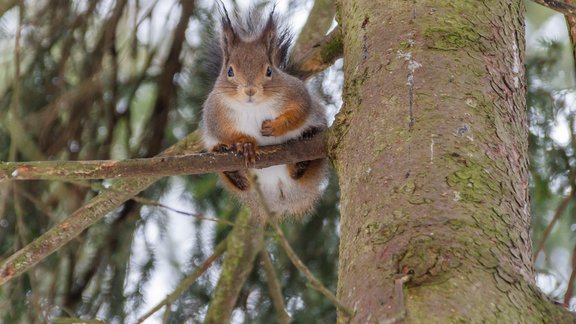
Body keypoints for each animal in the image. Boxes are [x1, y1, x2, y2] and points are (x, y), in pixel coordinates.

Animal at [201, 5, 328, 218]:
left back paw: (305, 150)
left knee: (302, 172)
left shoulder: (297, 93)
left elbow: (300, 112)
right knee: (240, 184)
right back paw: (229, 165)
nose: (250, 90)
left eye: (269, 71)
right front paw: (244, 144)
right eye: (229, 71)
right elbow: (223, 131)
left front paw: (276, 127)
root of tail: (278, 192)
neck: (253, 107)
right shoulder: (214, 113)